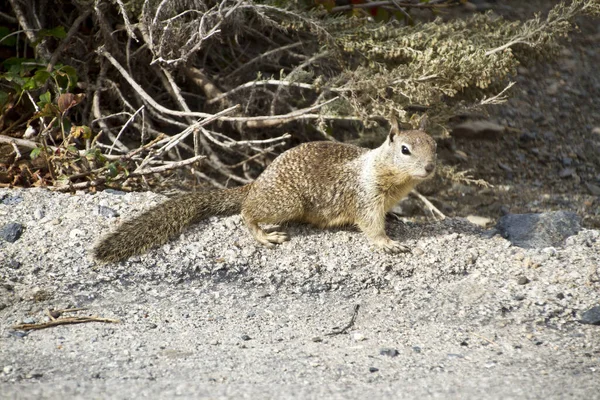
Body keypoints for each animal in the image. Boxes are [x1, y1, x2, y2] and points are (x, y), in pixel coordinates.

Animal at [96, 125, 438, 262]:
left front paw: (395, 218)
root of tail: (257, 182)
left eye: (434, 145)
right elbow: (371, 225)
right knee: (247, 212)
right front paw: (388, 243)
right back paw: (264, 235)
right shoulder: (367, 196)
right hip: (287, 203)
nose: (431, 167)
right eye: (405, 150)